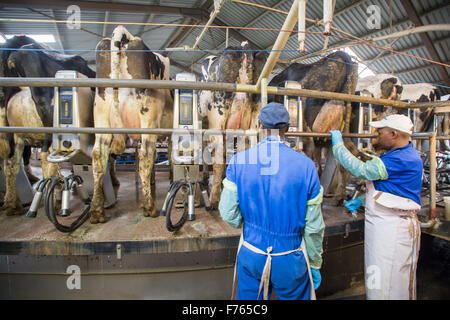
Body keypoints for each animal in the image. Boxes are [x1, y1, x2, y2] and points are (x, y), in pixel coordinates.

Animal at [89, 26, 172, 224]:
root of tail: (125, 35)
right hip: (148, 115)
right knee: (145, 156)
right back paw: (149, 207)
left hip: (101, 115)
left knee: (98, 156)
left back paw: (97, 211)